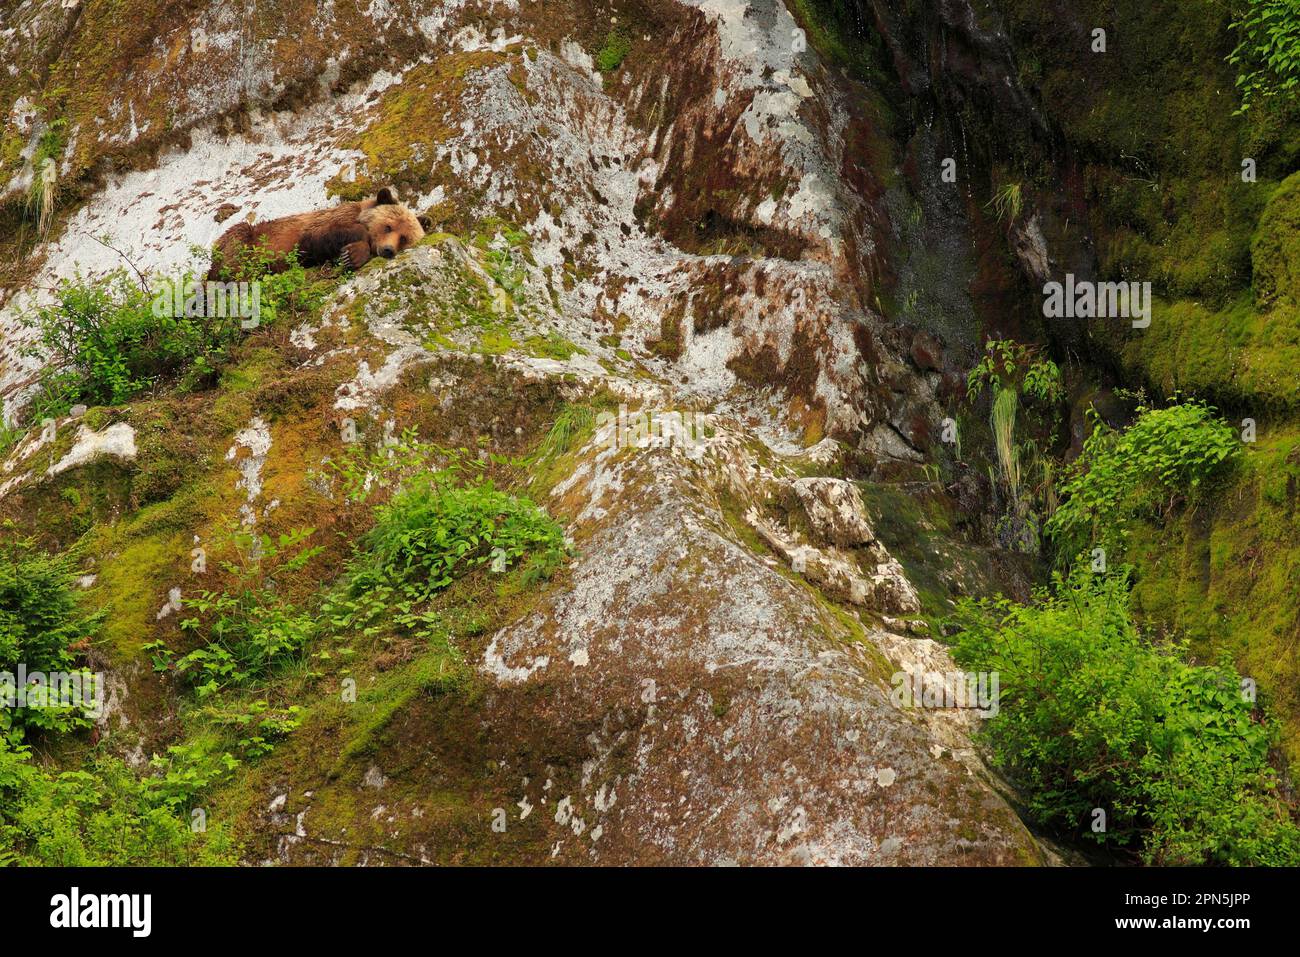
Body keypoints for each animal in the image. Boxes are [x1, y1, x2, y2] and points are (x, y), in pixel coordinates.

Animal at [208, 184, 431, 278]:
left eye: (404, 238)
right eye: (388, 226)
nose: (388, 250)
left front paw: (353, 255)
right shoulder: (317, 226)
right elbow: (316, 240)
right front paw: (353, 252)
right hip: (244, 239)